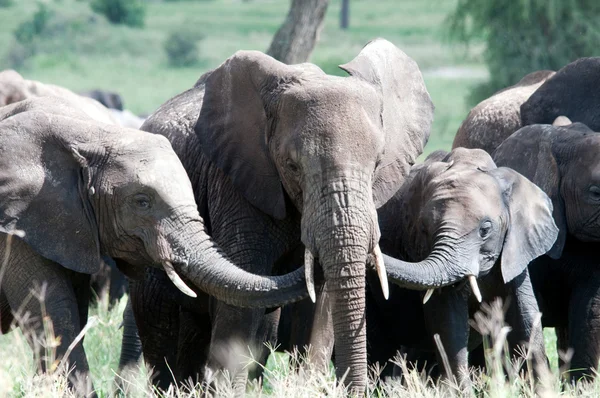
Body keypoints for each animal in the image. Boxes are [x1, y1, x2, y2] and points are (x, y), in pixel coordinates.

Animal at [129, 38, 480, 394]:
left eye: (377, 163)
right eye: (292, 165)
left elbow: (320, 306)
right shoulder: (234, 183)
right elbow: (240, 293)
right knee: (162, 325)